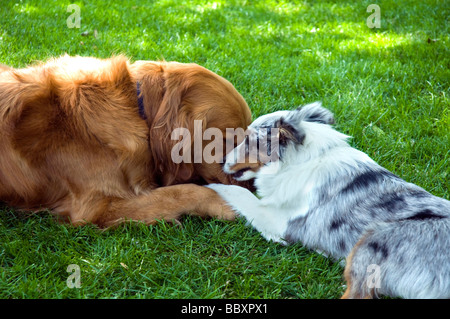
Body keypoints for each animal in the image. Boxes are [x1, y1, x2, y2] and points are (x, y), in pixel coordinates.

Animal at [0, 56, 253, 229]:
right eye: (228, 140)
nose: (255, 185)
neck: (137, 111)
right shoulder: (95, 206)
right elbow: (181, 192)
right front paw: (232, 202)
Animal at [210, 102, 450, 300]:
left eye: (249, 140)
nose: (219, 160)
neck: (303, 161)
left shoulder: (278, 221)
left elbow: (236, 192)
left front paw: (206, 186)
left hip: (374, 239)